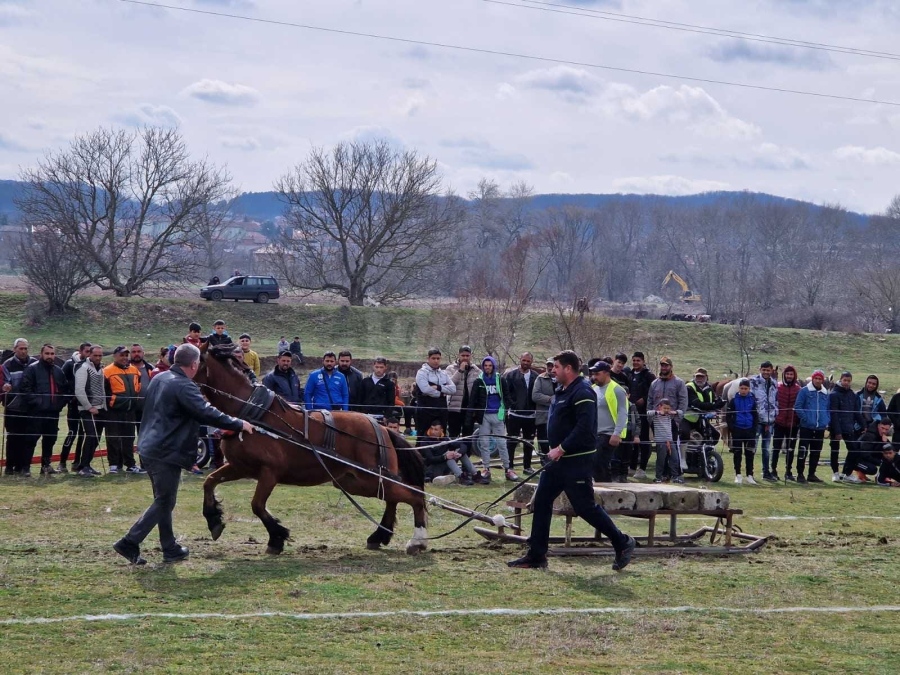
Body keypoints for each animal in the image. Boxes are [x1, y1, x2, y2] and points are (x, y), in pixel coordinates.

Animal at [192, 346, 428, 556]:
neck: (252, 413)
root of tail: (382, 428)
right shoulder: (239, 467)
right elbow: (209, 482)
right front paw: (213, 519)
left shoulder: (269, 472)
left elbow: (257, 505)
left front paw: (276, 537)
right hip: (355, 481)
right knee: (393, 499)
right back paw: (378, 536)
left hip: (368, 478)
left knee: (414, 495)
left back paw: (417, 541)